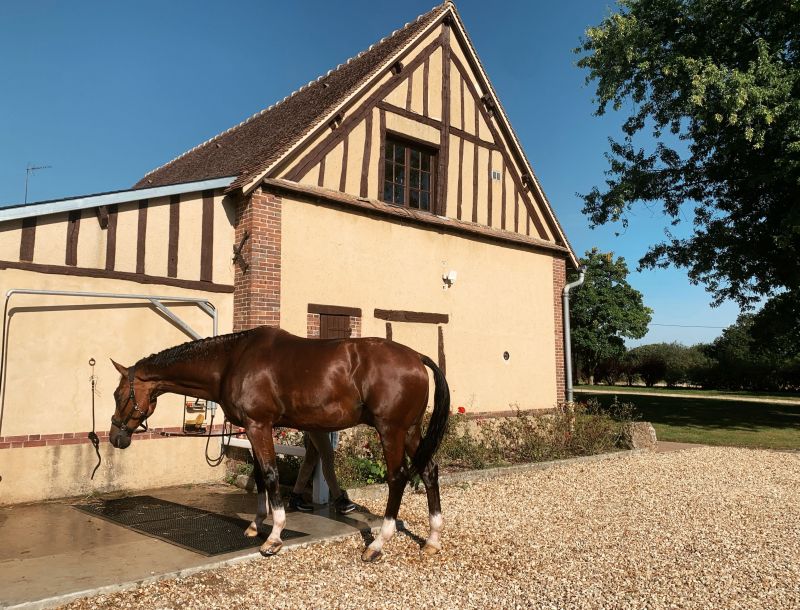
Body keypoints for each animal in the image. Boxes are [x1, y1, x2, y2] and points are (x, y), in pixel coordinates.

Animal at [108, 324, 450, 560]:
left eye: (119, 394)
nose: (115, 437)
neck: (232, 361)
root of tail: (416, 357)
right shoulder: (255, 427)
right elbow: (260, 475)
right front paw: (255, 524)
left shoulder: (258, 425)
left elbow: (271, 474)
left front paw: (273, 537)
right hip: (410, 430)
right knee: (429, 470)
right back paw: (433, 540)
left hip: (390, 430)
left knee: (397, 477)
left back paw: (378, 544)